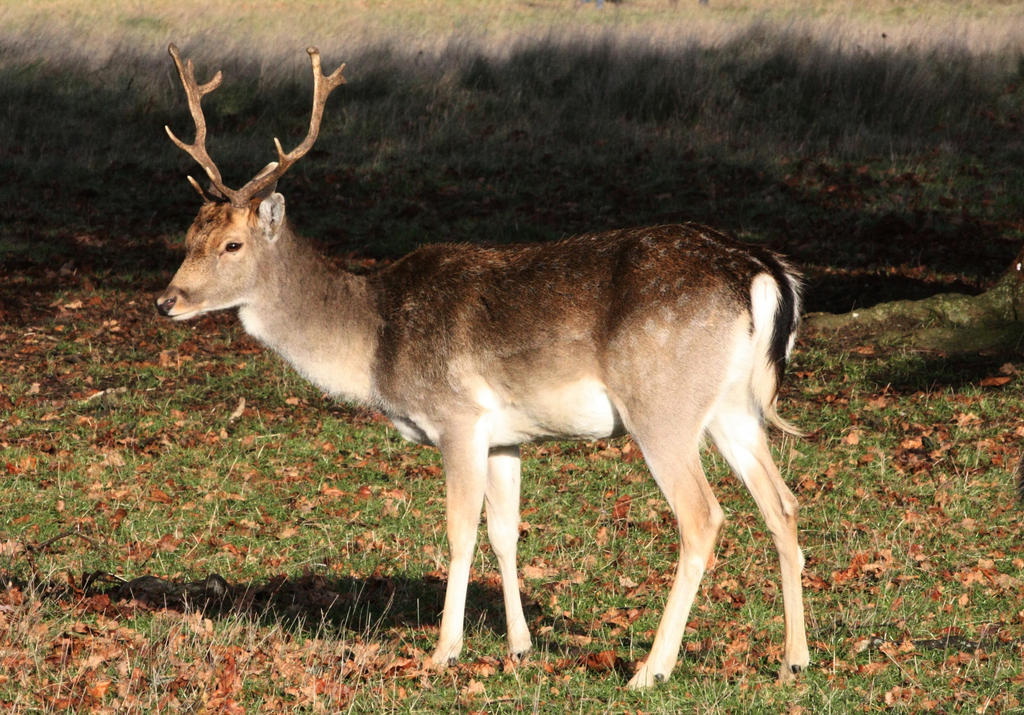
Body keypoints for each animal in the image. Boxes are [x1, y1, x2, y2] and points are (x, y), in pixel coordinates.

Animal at [155, 43, 806, 684]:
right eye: (187, 236)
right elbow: (505, 533)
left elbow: (460, 531)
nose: (167, 300)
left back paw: (651, 669)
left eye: (232, 244)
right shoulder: (507, 437)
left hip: (661, 404)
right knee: (782, 504)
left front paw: (444, 651)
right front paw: (519, 646)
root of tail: (762, 272)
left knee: (703, 517)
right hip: (732, 406)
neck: (375, 339)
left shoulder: (457, 417)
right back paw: (793, 660)